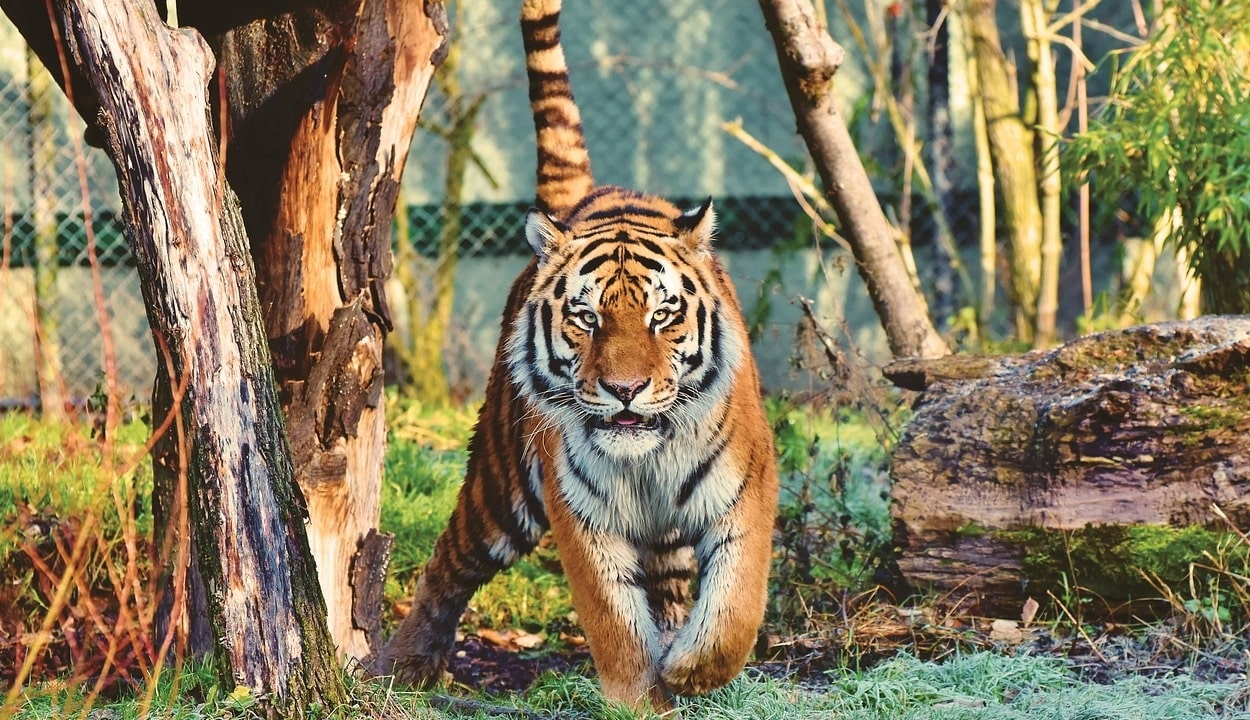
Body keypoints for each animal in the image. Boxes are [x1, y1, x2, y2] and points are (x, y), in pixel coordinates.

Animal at [372, 0, 780, 710]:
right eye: (587, 318)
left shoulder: (746, 490)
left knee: (671, 589)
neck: (648, 461)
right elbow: (613, 622)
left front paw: (690, 672)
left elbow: (735, 608)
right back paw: (404, 665)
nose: (624, 390)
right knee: (448, 563)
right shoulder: (580, 513)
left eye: (662, 315)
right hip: (501, 485)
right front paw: (639, 698)